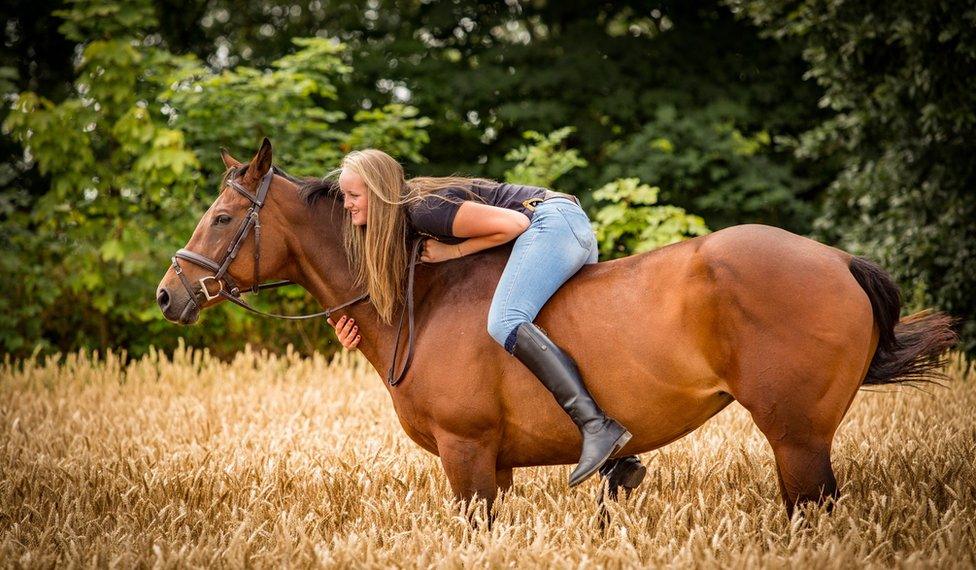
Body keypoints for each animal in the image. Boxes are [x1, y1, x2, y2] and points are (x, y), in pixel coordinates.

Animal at [156, 141, 956, 516]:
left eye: (222, 218)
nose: (169, 294)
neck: (420, 301)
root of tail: (837, 259)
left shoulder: (467, 455)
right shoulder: (495, 465)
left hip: (798, 438)